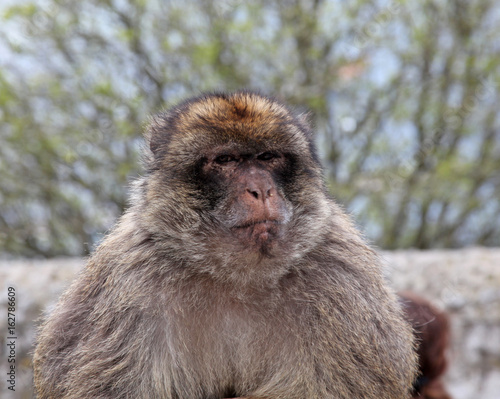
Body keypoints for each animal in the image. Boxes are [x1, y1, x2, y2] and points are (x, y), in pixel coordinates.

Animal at [32, 92, 418, 398]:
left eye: (268, 157)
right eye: (226, 160)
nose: (261, 190)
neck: (237, 276)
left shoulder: (341, 275)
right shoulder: (128, 279)